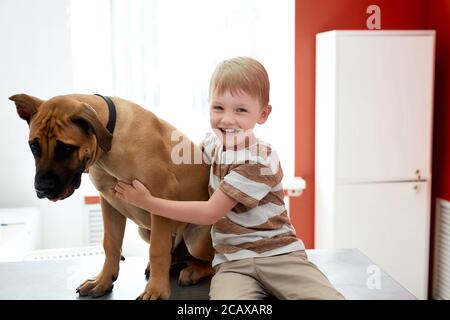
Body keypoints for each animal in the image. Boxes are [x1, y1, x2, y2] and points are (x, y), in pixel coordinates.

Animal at [9, 94, 214, 298]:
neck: (110, 140)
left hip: (195, 240)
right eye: (34, 146)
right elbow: (111, 243)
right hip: (144, 231)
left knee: (212, 262)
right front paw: (103, 280)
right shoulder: (109, 201)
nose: (41, 189)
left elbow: (158, 249)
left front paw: (156, 290)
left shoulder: (161, 194)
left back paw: (194, 270)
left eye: (66, 148)